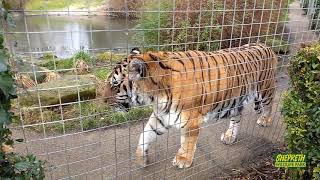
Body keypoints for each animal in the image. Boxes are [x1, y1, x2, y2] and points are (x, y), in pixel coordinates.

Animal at [103, 43, 278, 169]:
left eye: (114, 85)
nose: (103, 101)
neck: (156, 95)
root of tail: (266, 46)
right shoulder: (162, 116)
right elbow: (145, 134)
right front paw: (141, 158)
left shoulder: (190, 119)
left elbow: (187, 142)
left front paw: (183, 160)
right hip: (236, 100)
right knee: (237, 117)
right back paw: (230, 137)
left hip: (265, 90)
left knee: (269, 106)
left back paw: (265, 120)